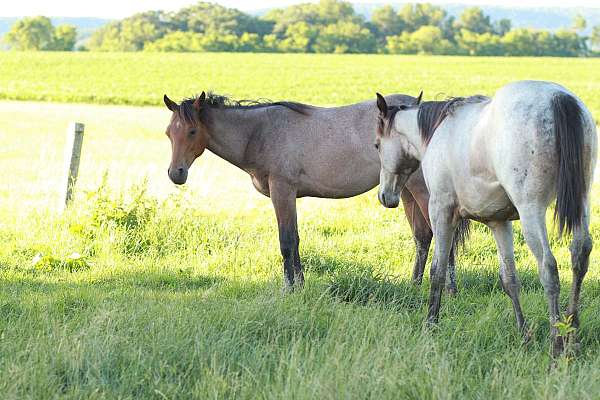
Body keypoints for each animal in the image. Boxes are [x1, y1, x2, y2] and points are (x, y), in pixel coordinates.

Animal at [164, 90, 468, 290]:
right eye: (169, 133)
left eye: (192, 131)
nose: (176, 173)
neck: (260, 132)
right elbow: (296, 240)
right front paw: (300, 285)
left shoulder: (282, 191)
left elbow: (286, 242)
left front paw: (289, 289)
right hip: (403, 191)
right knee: (423, 236)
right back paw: (414, 284)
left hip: (423, 192)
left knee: (444, 239)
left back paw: (449, 289)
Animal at [378, 81, 596, 356]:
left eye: (377, 145)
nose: (385, 196)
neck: (438, 131)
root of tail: (558, 98)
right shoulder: (499, 222)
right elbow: (509, 279)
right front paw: (524, 335)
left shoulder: (440, 210)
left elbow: (438, 270)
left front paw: (430, 325)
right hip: (581, 203)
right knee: (580, 254)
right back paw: (571, 331)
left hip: (531, 210)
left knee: (548, 267)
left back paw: (557, 342)